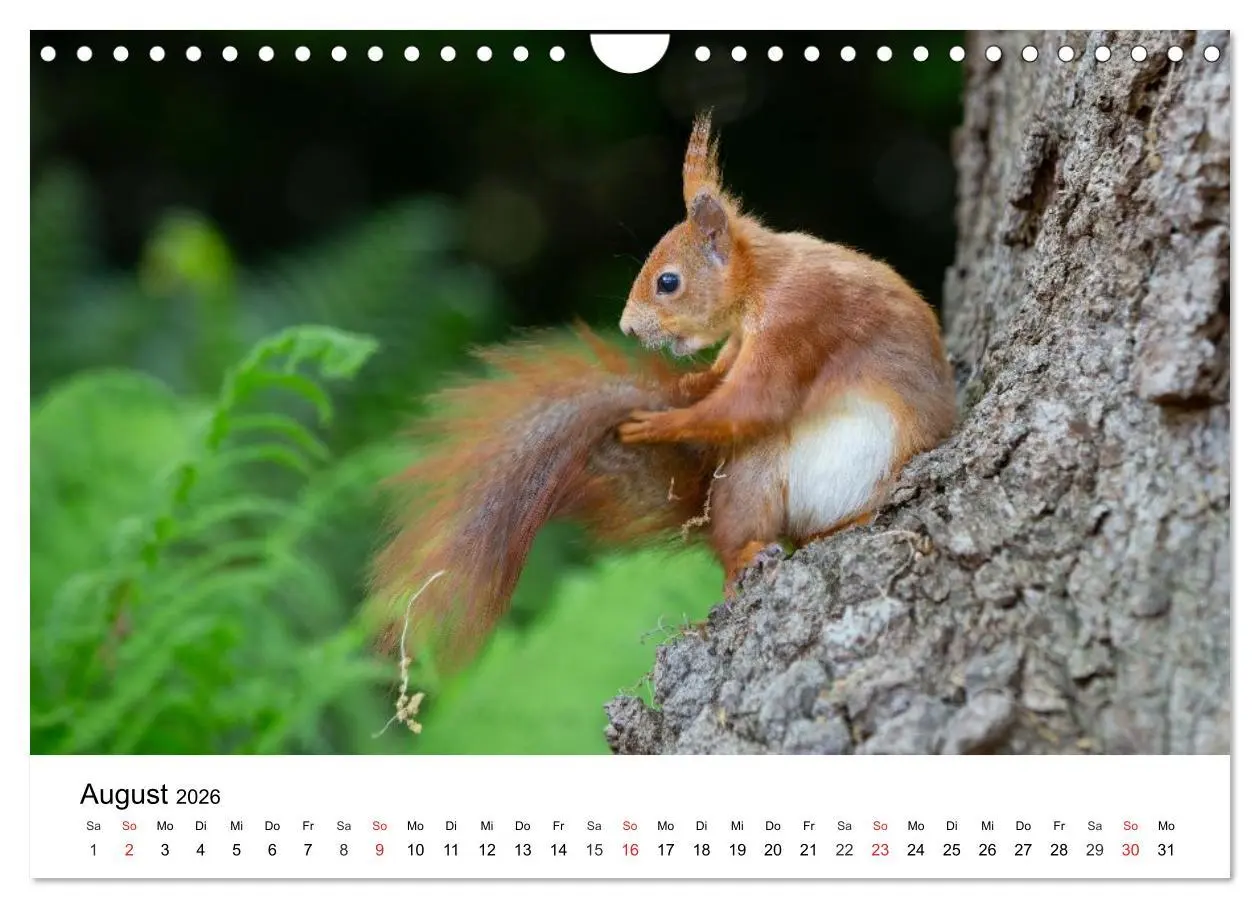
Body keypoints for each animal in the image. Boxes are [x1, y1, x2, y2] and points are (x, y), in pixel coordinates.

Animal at [370, 112, 955, 670]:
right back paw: (744, 556)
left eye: (667, 282)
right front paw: (693, 382)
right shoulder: (747, 336)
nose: (628, 328)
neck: (763, 278)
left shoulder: (801, 316)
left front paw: (659, 424)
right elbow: (728, 368)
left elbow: (755, 398)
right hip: (754, 483)